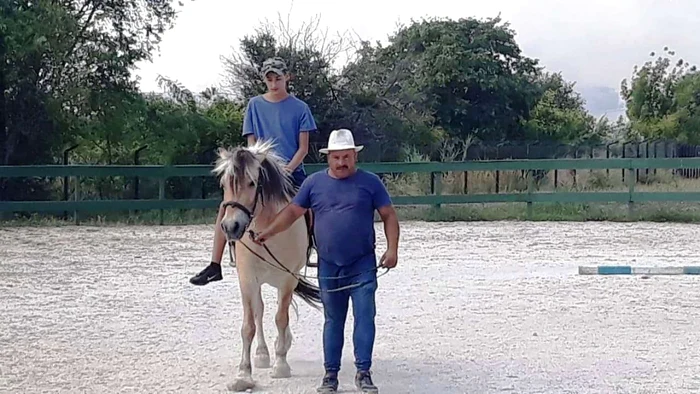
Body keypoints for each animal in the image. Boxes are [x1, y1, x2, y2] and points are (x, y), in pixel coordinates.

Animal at [212, 141, 324, 390]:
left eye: (252, 183)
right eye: (224, 184)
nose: (231, 227)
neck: (266, 229)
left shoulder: (288, 277)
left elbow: (281, 317)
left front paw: (281, 365)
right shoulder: (247, 279)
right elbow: (248, 325)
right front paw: (244, 374)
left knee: (281, 309)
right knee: (260, 310)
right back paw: (262, 354)